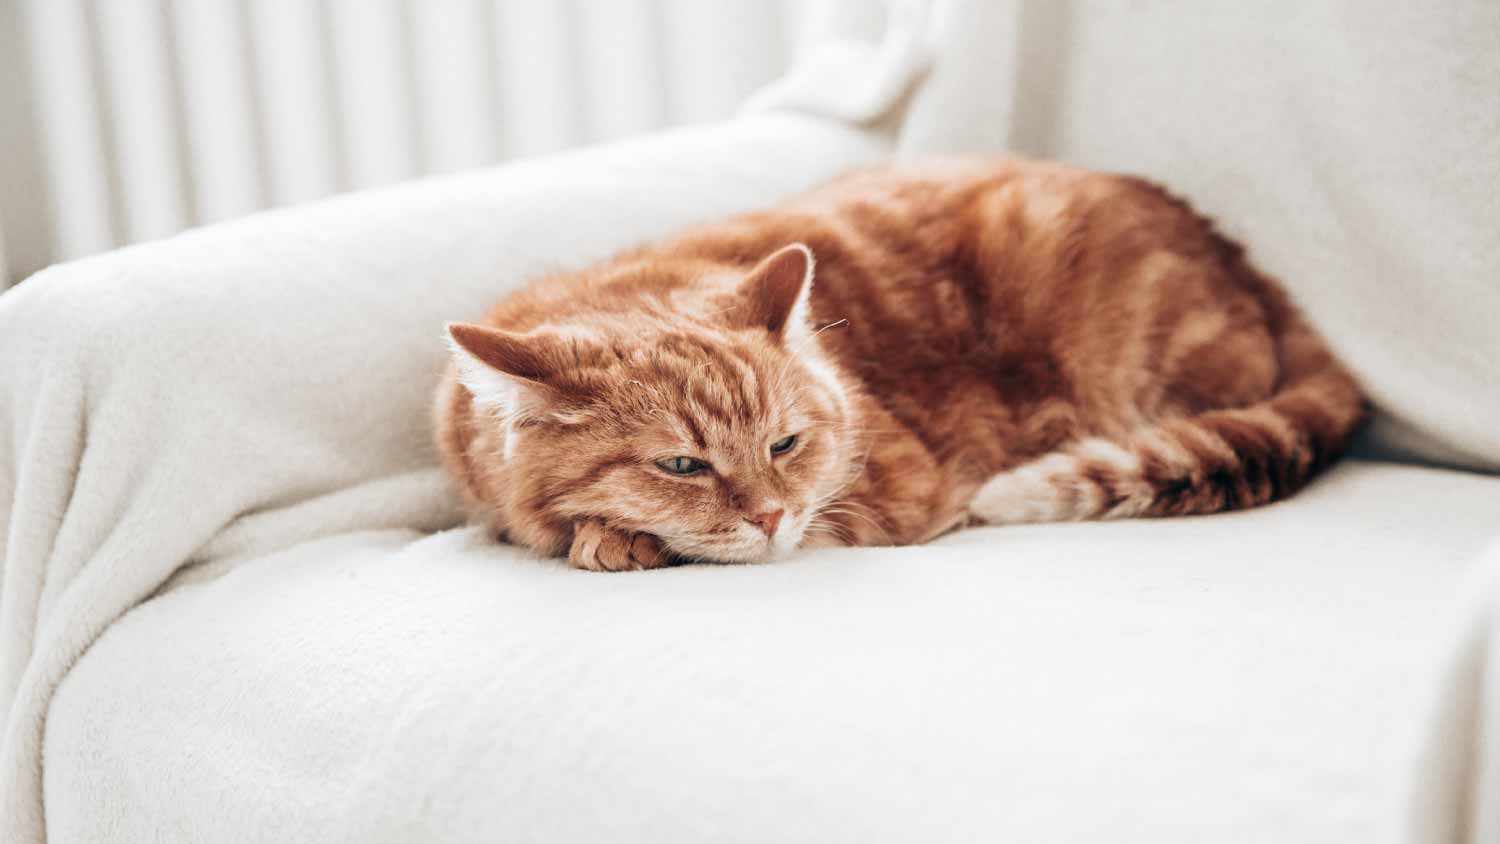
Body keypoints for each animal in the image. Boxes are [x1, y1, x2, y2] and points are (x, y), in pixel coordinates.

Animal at [438, 156, 1374, 575]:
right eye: (681, 465)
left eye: (784, 445)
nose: (771, 516)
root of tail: (1238, 252)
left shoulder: (897, 492)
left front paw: (614, 539)